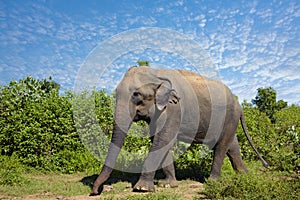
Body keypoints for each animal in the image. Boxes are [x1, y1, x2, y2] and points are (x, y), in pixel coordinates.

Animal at [91, 66, 268, 195]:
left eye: (137, 95)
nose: (96, 191)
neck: (157, 74)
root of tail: (239, 104)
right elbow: (161, 140)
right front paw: (167, 185)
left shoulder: (174, 109)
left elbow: (163, 139)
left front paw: (141, 189)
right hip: (230, 121)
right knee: (232, 145)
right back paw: (245, 175)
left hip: (229, 117)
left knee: (221, 146)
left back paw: (212, 181)